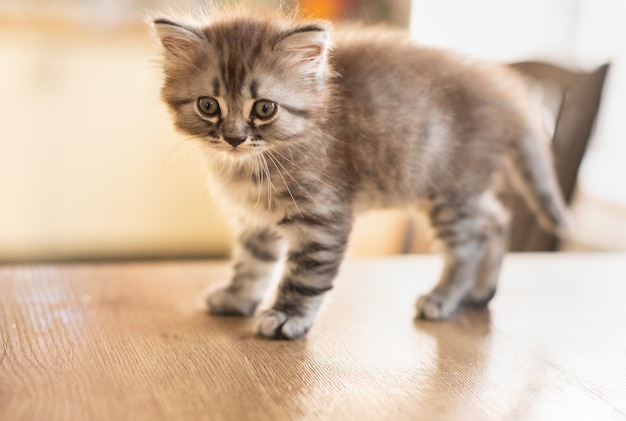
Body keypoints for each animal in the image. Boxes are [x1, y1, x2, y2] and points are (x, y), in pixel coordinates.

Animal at [150, 10, 564, 338]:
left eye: (264, 108)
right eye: (208, 106)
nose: (234, 138)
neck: (250, 166)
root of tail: (505, 89)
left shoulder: (323, 215)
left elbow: (305, 273)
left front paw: (287, 317)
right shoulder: (255, 218)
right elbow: (252, 262)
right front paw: (238, 297)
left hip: (449, 194)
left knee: (470, 243)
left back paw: (446, 297)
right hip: (460, 190)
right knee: (496, 219)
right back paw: (480, 293)